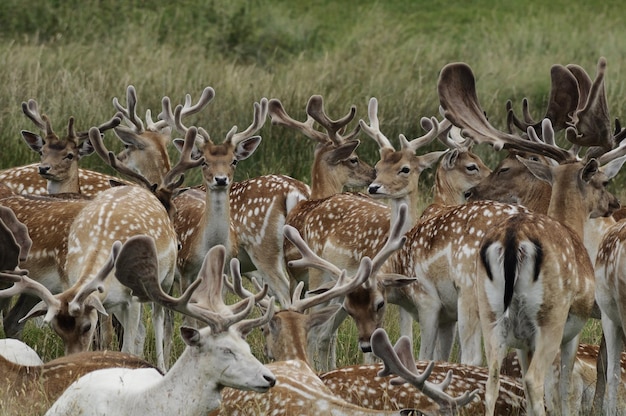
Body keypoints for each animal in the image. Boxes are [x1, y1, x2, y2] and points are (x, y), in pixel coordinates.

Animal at [436, 58, 624, 416]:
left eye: (504, 168)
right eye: (603, 182)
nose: (613, 203)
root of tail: (513, 240)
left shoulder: (524, 341)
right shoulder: (576, 326)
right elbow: (570, 383)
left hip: (492, 314)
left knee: (491, 379)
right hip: (551, 316)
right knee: (536, 380)